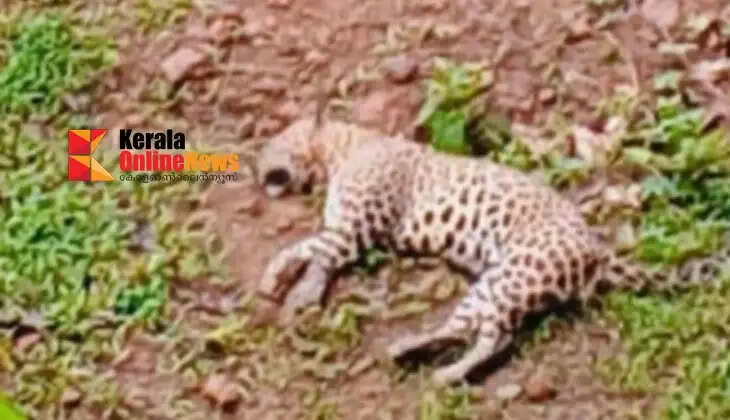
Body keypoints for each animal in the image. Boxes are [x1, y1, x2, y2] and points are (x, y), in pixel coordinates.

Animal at [254, 117, 729, 385]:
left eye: (275, 140)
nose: (256, 165)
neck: (342, 150)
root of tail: (598, 247)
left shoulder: (356, 228)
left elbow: (312, 251)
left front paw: (287, 286)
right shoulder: (342, 229)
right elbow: (310, 252)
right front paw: (288, 287)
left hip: (508, 275)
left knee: (487, 333)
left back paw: (429, 364)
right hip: (507, 283)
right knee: (490, 333)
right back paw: (424, 358)